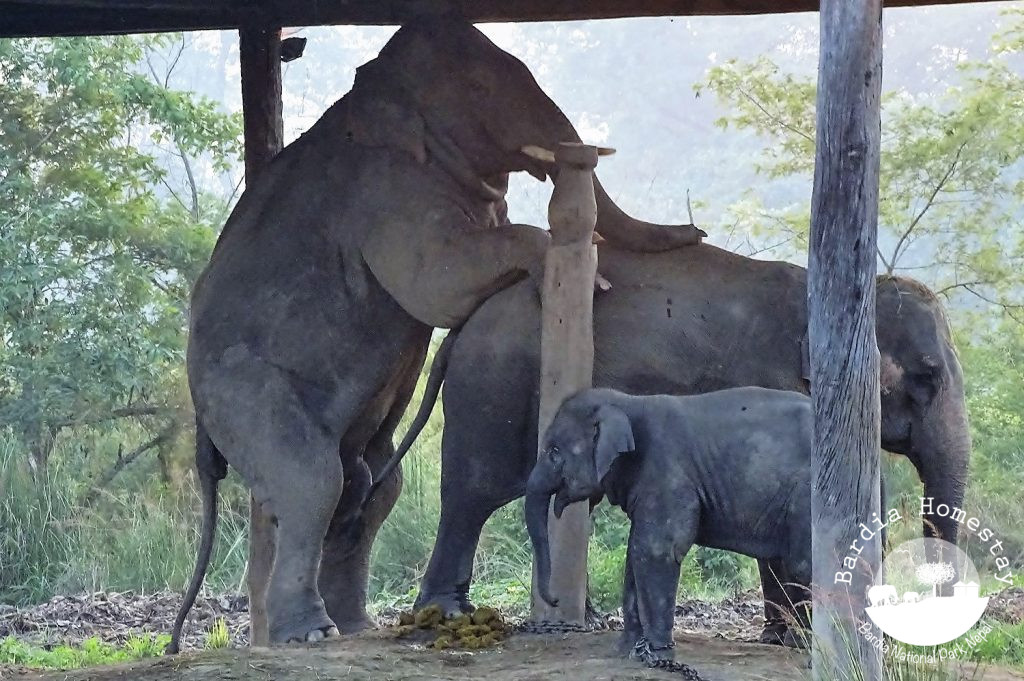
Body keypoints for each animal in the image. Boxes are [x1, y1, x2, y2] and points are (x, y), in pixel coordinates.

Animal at [168, 17, 702, 650]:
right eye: (478, 87)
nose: (697, 230)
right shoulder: (386, 194)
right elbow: (440, 282)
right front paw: (581, 273)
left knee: (369, 487)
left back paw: (353, 626)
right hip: (239, 388)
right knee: (313, 478)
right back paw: (311, 634)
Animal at [527, 387, 815, 661]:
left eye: (554, 451)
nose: (555, 600)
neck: (628, 402)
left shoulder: (668, 476)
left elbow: (656, 551)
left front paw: (657, 655)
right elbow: (635, 552)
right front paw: (626, 651)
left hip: (805, 499)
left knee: (801, 564)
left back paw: (802, 645)